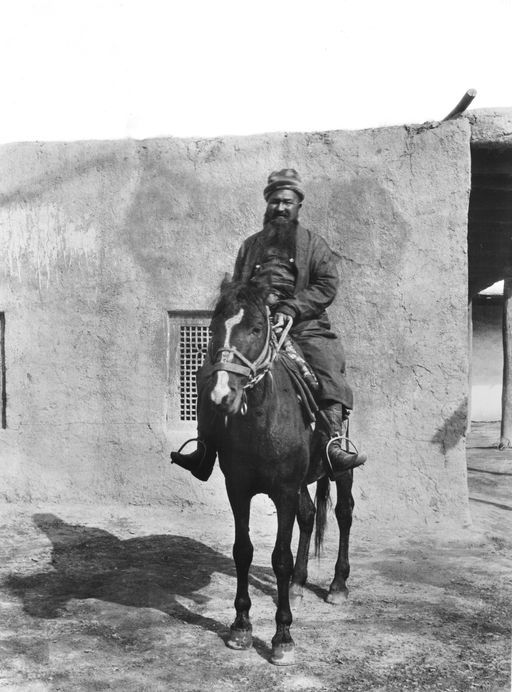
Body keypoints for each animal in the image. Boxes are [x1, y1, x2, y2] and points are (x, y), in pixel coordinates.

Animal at [201, 280, 355, 666]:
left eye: (257, 328)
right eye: (213, 328)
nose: (222, 395)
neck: (261, 419)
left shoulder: (283, 490)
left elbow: (280, 559)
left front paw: (283, 636)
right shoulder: (239, 489)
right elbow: (243, 551)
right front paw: (240, 627)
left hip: (340, 469)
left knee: (344, 513)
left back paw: (337, 585)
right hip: (300, 483)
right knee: (309, 513)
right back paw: (300, 584)